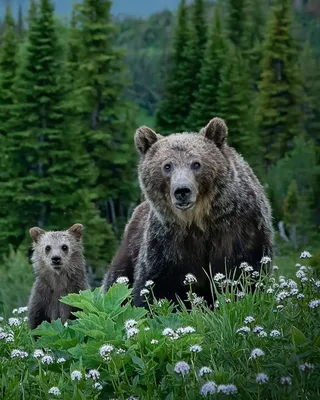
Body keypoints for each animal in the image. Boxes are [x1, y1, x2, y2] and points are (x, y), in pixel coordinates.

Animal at [102, 117, 272, 308]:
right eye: (167, 166)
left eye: (196, 164)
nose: (182, 191)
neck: (198, 221)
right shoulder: (167, 247)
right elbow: (156, 288)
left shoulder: (238, 231)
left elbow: (243, 274)